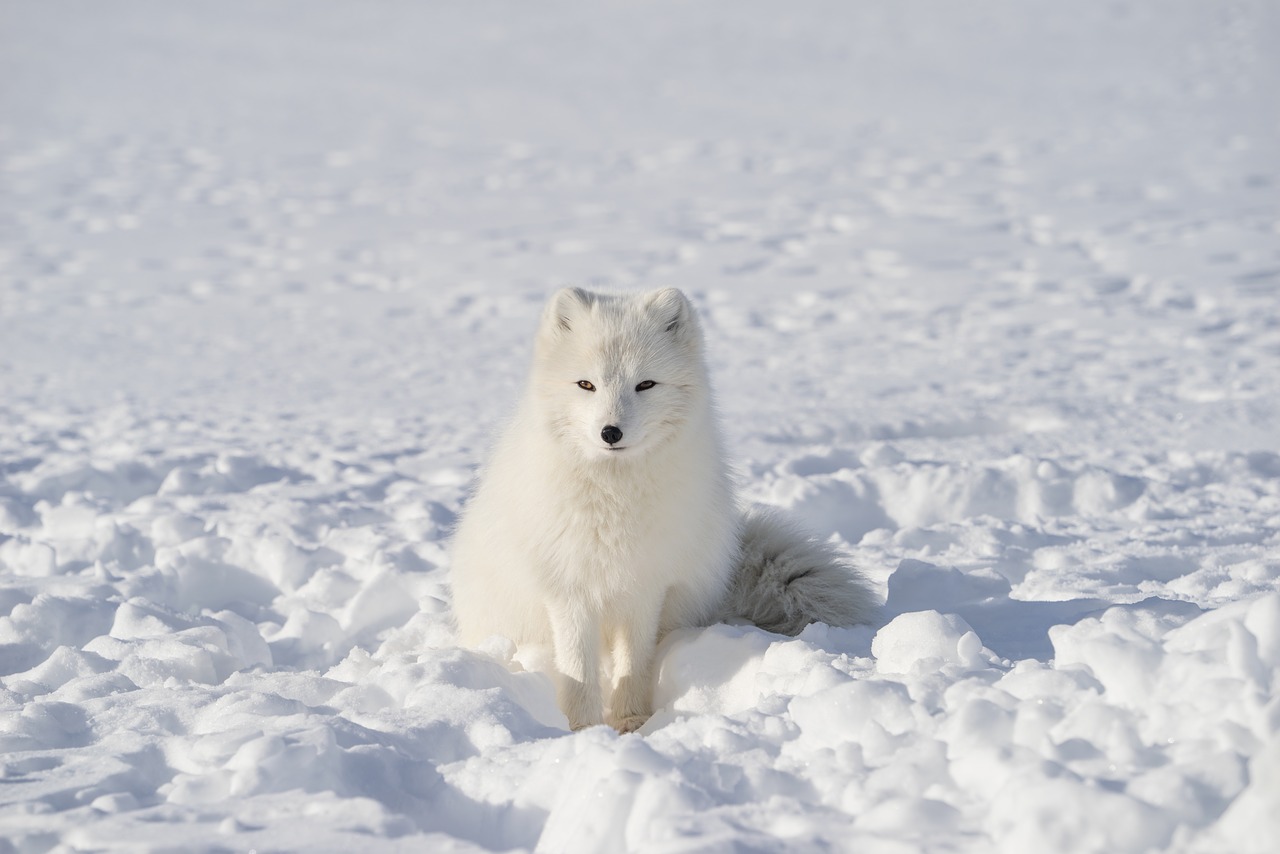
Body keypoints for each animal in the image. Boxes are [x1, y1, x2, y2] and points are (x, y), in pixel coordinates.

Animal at [445, 290, 875, 732]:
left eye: (645, 384)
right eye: (586, 384)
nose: (610, 432)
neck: (614, 498)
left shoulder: (645, 586)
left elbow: (633, 662)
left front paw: (631, 721)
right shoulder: (569, 589)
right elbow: (578, 669)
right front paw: (583, 729)